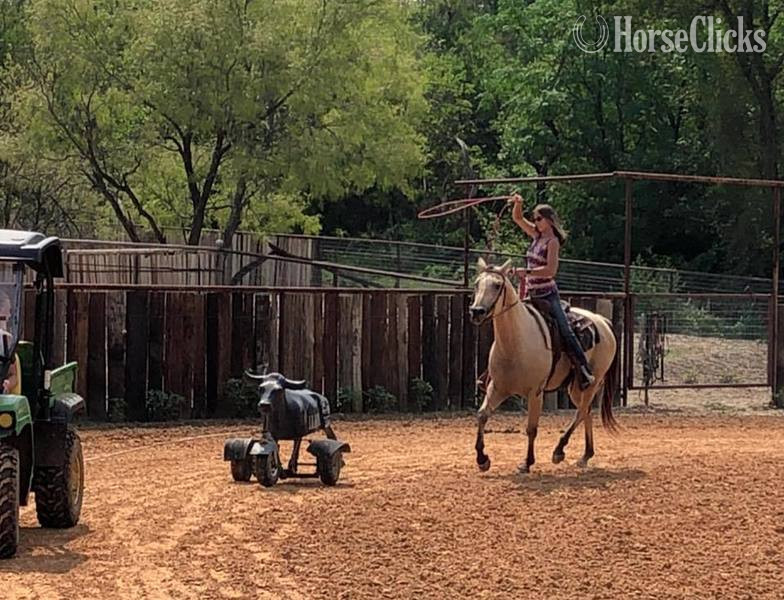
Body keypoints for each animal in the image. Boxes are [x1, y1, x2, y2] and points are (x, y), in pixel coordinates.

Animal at [469, 257, 620, 474]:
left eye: (497, 285)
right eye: (477, 284)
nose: (476, 312)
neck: (515, 341)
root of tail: (603, 322)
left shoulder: (535, 392)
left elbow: (531, 428)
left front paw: (527, 462)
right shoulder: (497, 387)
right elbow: (482, 415)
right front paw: (482, 459)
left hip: (593, 382)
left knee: (581, 411)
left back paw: (559, 450)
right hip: (576, 387)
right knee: (586, 412)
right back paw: (585, 455)